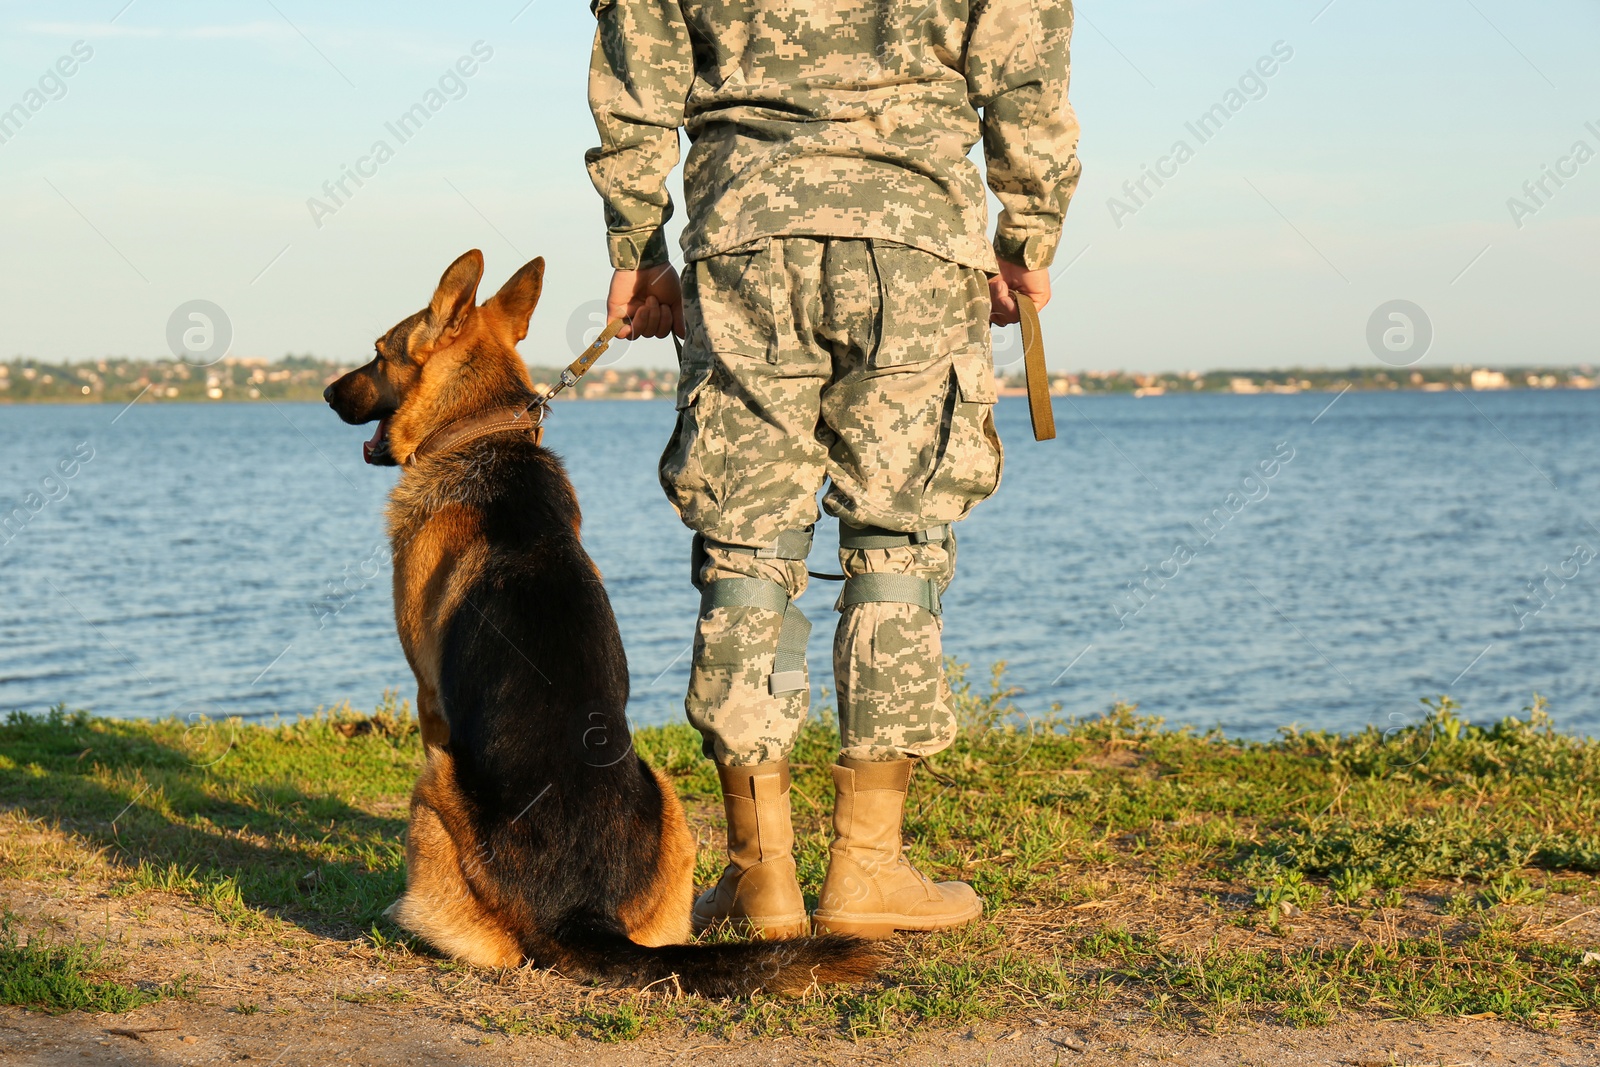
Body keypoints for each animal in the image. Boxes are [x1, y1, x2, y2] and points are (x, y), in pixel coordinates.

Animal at [323, 252, 876, 1004]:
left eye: (380, 352)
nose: (326, 393)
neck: (483, 432)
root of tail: (583, 914)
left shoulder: (429, 699)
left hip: (434, 784)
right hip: (668, 796)